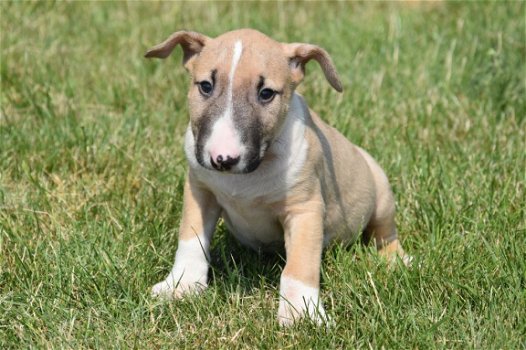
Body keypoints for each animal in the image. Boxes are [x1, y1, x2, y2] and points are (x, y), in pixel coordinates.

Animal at [145, 28, 412, 326]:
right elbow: (191, 241)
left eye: (266, 93)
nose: (223, 159)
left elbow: (299, 265)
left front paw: (301, 313)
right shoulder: (199, 192)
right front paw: (181, 285)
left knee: (385, 233)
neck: (251, 172)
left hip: (381, 189)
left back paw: (396, 260)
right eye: (205, 86)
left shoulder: (305, 209)